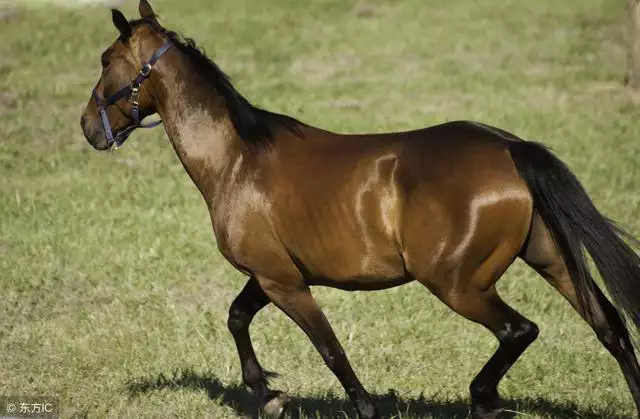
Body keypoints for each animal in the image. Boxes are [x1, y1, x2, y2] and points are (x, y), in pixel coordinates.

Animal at [80, 1, 640, 418]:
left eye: (106, 59)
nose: (87, 127)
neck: (237, 158)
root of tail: (510, 147)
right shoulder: (271, 274)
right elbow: (237, 318)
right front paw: (270, 395)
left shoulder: (285, 283)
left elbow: (331, 350)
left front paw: (348, 404)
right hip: (549, 259)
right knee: (611, 327)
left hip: (458, 283)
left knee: (519, 330)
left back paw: (483, 398)